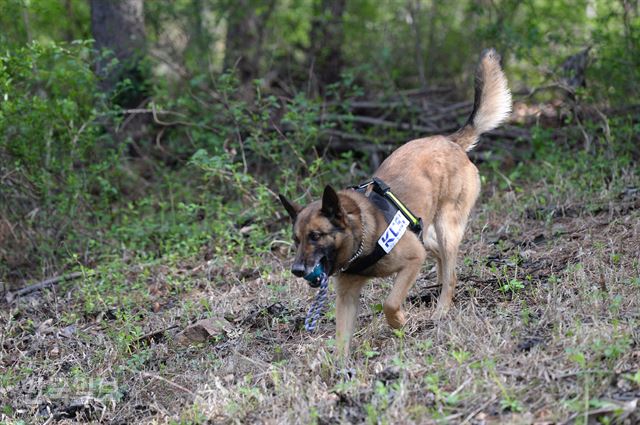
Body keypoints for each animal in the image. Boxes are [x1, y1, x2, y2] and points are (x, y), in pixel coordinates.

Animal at [278, 48, 510, 358]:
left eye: (316, 236)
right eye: (296, 240)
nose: (297, 271)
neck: (362, 238)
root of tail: (448, 140)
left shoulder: (412, 260)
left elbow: (390, 303)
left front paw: (399, 322)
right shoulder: (347, 296)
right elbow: (341, 342)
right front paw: (339, 367)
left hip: (446, 228)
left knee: (451, 275)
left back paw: (441, 310)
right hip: (427, 235)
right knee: (441, 260)